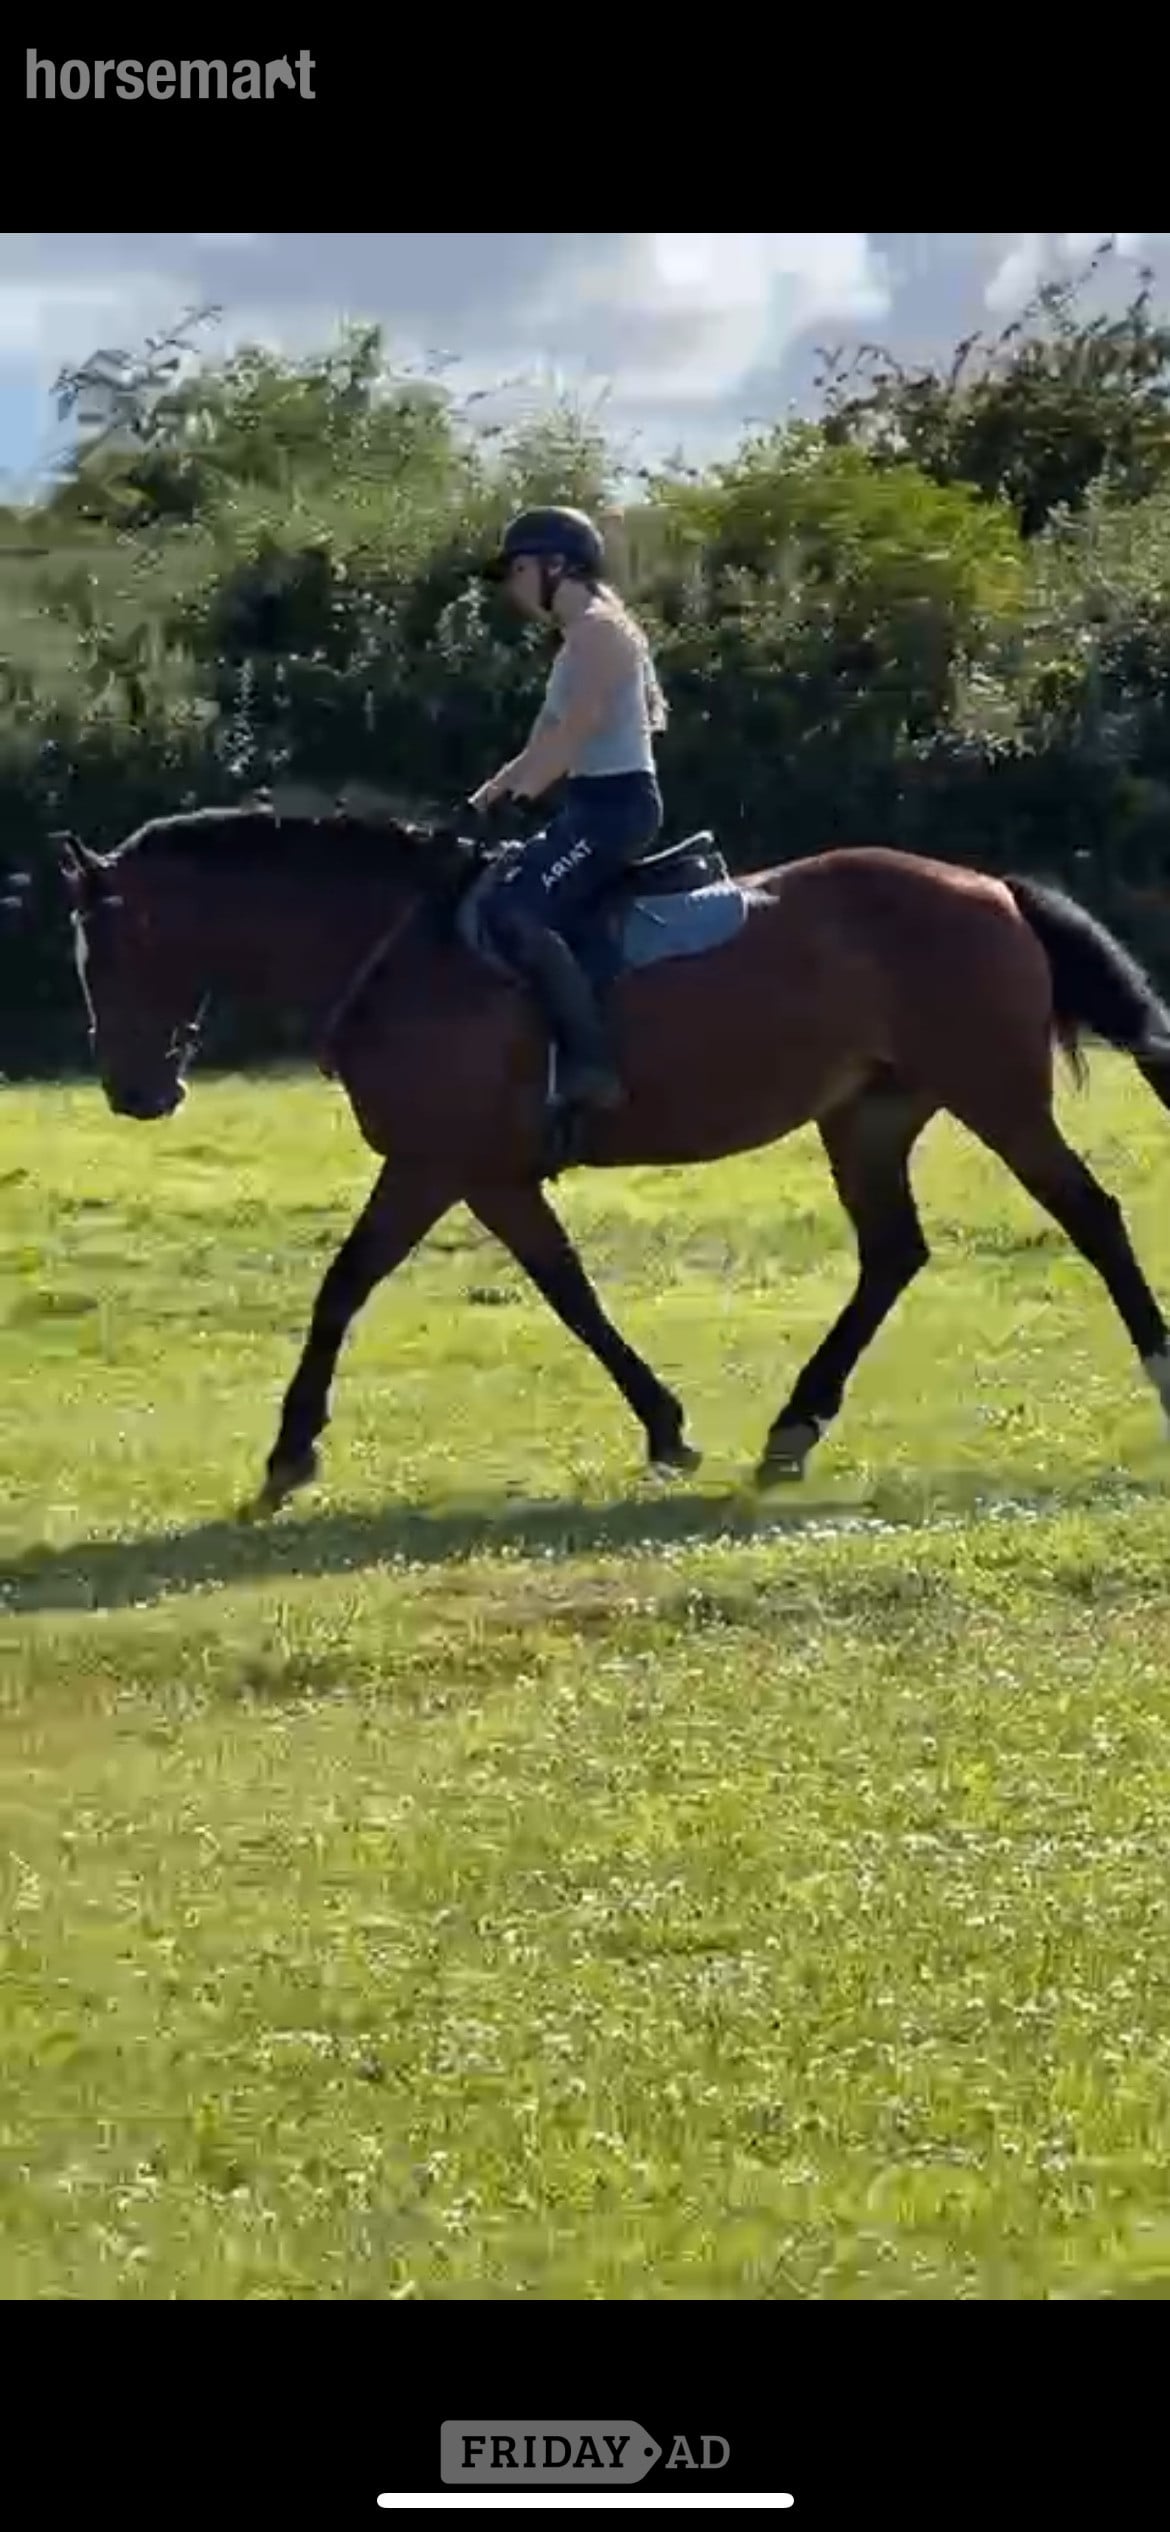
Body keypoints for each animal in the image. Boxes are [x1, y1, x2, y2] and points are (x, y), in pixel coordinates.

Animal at [50, 803, 1170, 1518]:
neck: (402, 952)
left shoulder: (437, 1167)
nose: (132, 1093)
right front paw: (666, 1426)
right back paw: (795, 1425)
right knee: (893, 1254)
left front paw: (291, 1451)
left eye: (109, 952)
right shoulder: (488, 1178)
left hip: (995, 1099)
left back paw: (1158, 1370)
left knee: (1091, 1214)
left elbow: (347, 1286)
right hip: (869, 1116)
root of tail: (992, 888)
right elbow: (569, 1293)